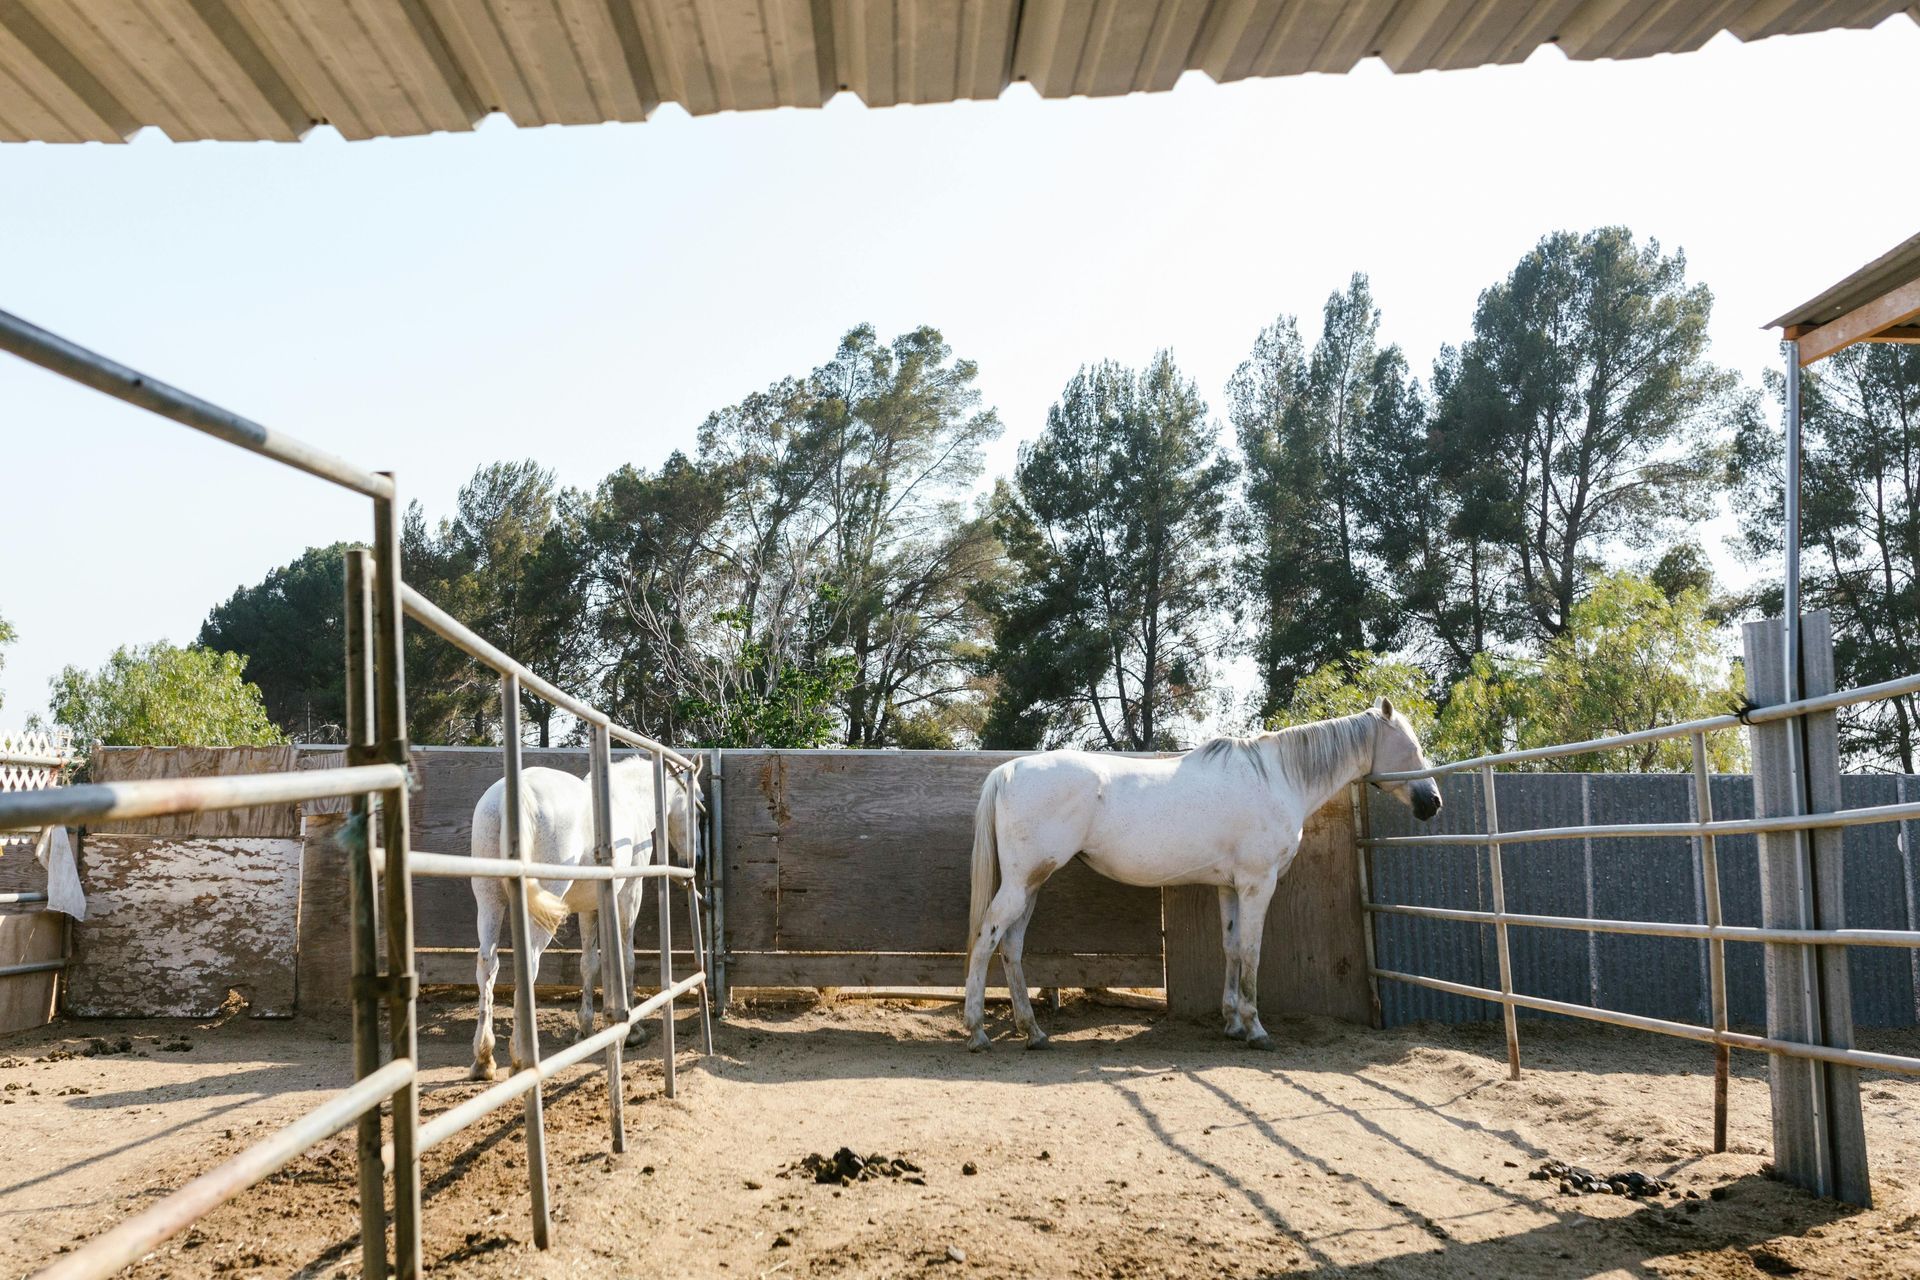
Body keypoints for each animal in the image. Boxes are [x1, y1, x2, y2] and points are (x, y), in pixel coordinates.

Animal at [469, 756, 703, 1081]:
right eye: (697, 806)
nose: (698, 857)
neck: (628, 799)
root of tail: (512, 796)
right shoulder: (629, 895)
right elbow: (627, 959)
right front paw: (633, 1029)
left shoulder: (588, 908)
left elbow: (589, 962)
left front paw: (586, 1026)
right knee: (527, 965)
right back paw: (518, 1058)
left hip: (489, 899)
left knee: (487, 964)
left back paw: (483, 1058)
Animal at [962, 698, 1441, 1052]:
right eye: (1410, 746)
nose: (1432, 802)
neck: (1276, 778)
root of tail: (1008, 770)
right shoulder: (1257, 885)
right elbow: (1251, 952)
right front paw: (1256, 1029)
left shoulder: (1229, 887)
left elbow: (1230, 948)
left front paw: (1232, 1024)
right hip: (1022, 883)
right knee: (987, 938)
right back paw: (978, 1031)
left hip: (1032, 885)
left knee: (1012, 947)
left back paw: (1033, 1031)